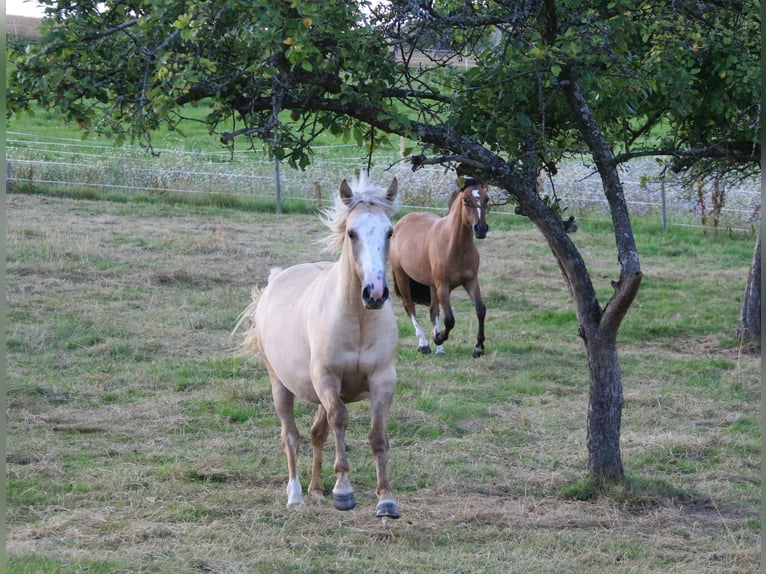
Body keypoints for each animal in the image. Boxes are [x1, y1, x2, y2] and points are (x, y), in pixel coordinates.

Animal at [237, 173, 400, 520]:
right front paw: (343, 491)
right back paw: (296, 495)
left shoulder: (382, 379)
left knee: (316, 434)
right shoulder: (327, 377)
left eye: (390, 231)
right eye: (352, 233)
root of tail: (276, 279)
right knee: (291, 436)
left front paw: (386, 499)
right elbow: (340, 421)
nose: (375, 293)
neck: (357, 319)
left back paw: (315, 489)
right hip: (280, 385)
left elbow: (377, 436)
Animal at [390, 180, 492, 358]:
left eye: (486, 198)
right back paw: (424, 344)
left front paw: (478, 347)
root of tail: (402, 221)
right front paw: (438, 338)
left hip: (431, 285)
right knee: (410, 307)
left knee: (433, 311)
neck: (455, 246)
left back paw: (439, 349)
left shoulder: (471, 282)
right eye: (465, 199)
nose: (481, 229)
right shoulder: (443, 286)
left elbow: (480, 310)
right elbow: (450, 319)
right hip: (402, 276)